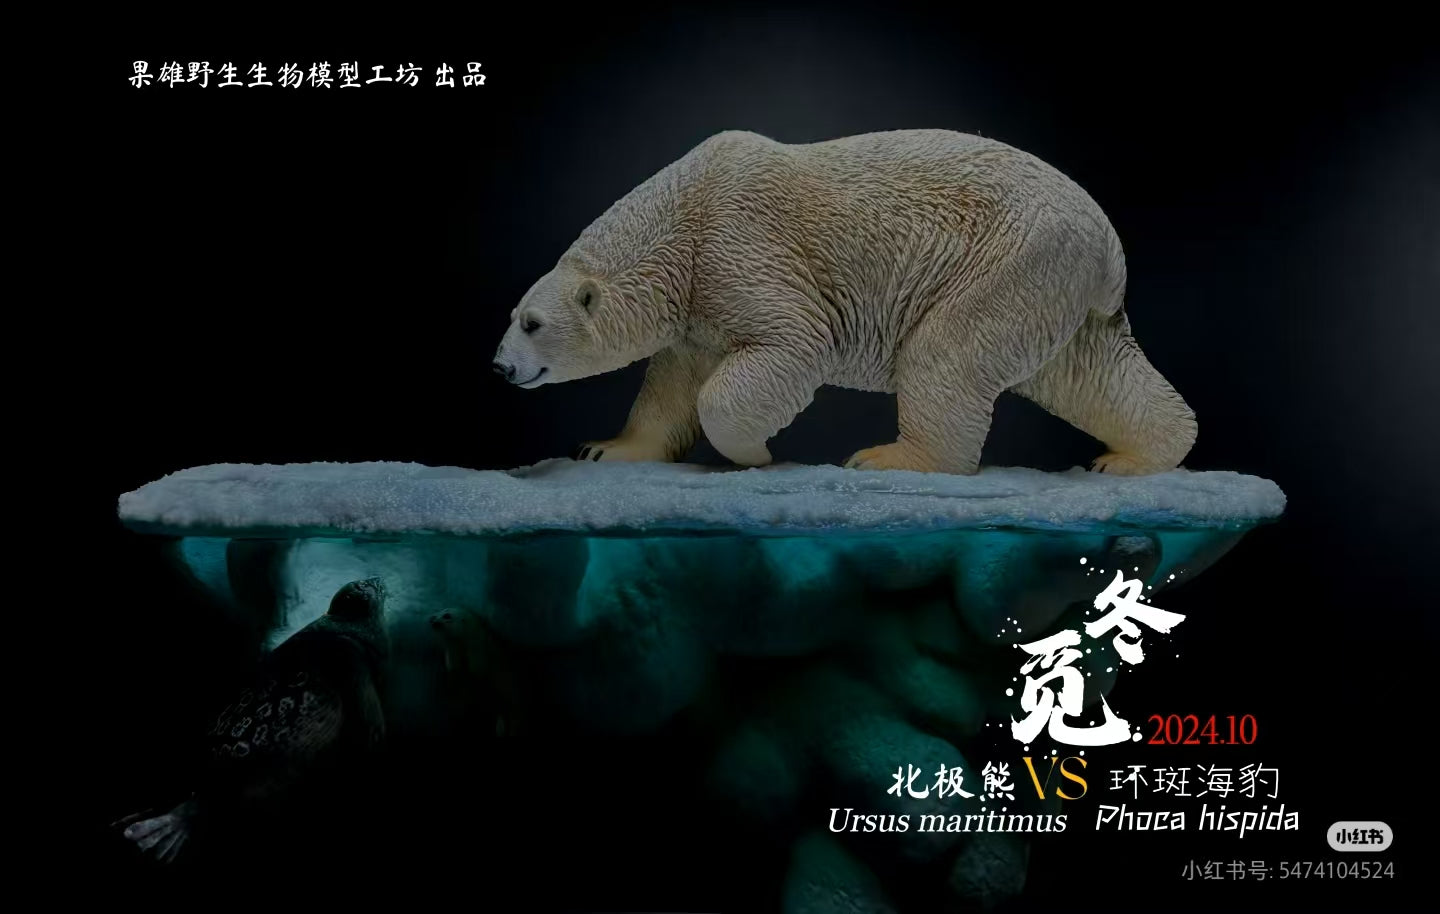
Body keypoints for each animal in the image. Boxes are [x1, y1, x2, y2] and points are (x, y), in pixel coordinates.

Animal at [492, 129, 1196, 476]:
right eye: (511, 317)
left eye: (531, 322)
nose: (500, 366)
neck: (681, 215)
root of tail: (1108, 245)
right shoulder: (698, 304)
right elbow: (671, 383)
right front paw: (605, 448)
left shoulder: (737, 246)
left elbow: (792, 340)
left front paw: (755, 454)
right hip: (1058, 288)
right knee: (1092, 373)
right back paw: (1129, 460)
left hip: (1009, 259)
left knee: (943, 354)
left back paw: (894, 458)